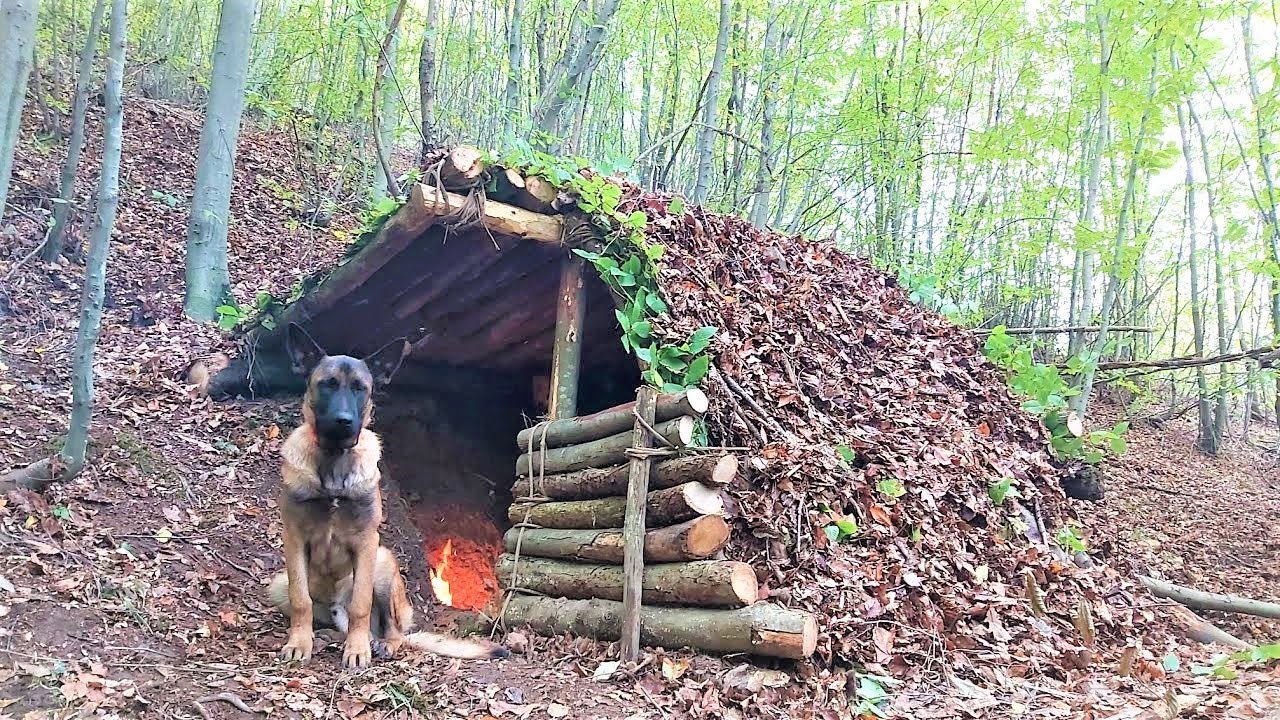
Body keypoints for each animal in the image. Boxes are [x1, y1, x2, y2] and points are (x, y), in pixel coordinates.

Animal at [267, 322, 506, 666]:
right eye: (327, 385)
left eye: (360, 388)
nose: (344, 421)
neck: (334, 463)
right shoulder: (294, 537)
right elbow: (301, 600)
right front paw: (300, 642)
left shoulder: (367, 541)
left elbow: (360, 605)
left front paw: (356, 650)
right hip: (279, 583)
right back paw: (327, 637)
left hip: (383, 562)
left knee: (390, 629)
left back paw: (378, 643)